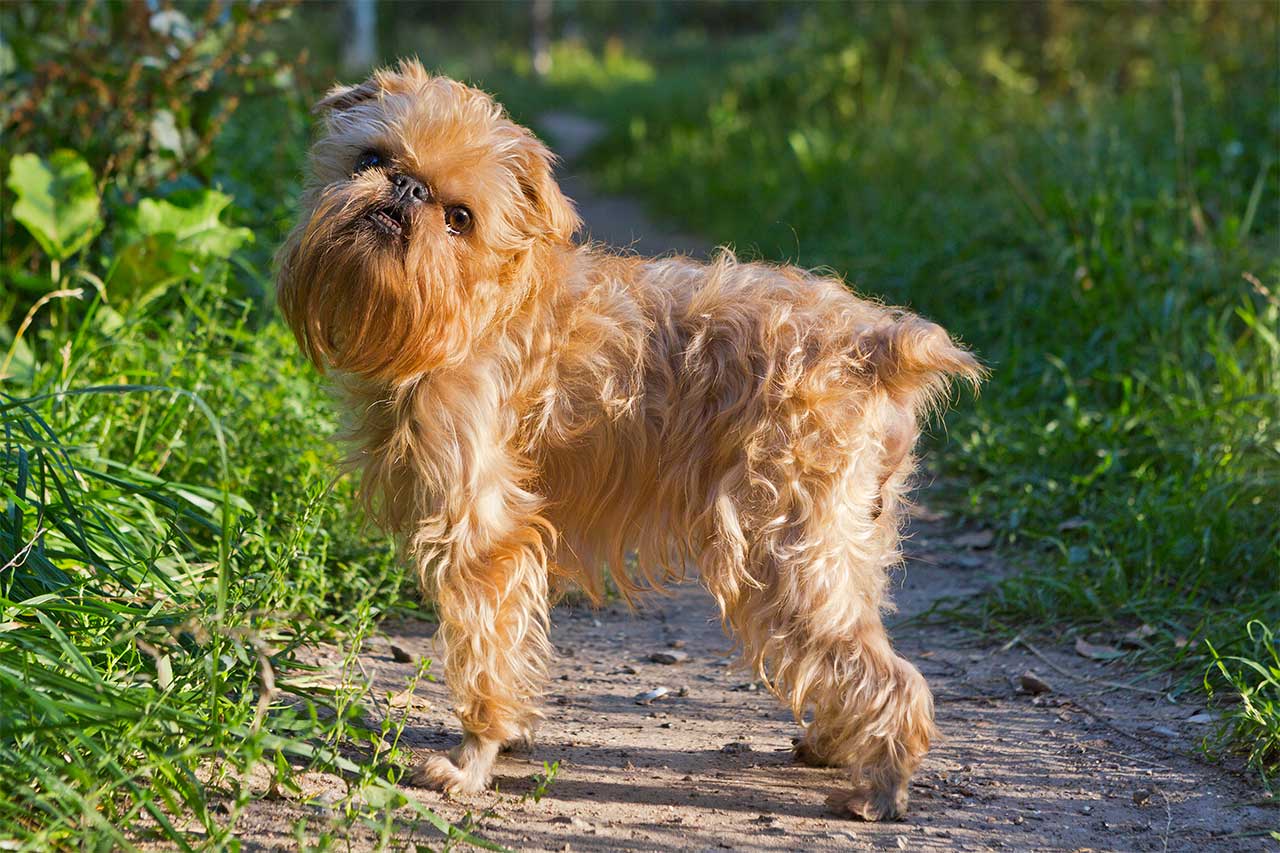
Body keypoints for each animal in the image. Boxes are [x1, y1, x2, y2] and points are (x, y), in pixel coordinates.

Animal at [277, 58, 977, 819]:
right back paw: (834, 746)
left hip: (785, 547)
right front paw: (507, 738)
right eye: (370, 160)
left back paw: (879, 786)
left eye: (460, 219)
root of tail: (876, 344)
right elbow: (514, 643)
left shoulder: (484, 537)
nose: (404, 190)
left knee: (885, 670)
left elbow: (486, 648)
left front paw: (473, 760)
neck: (471, 309)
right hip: (844, 539)